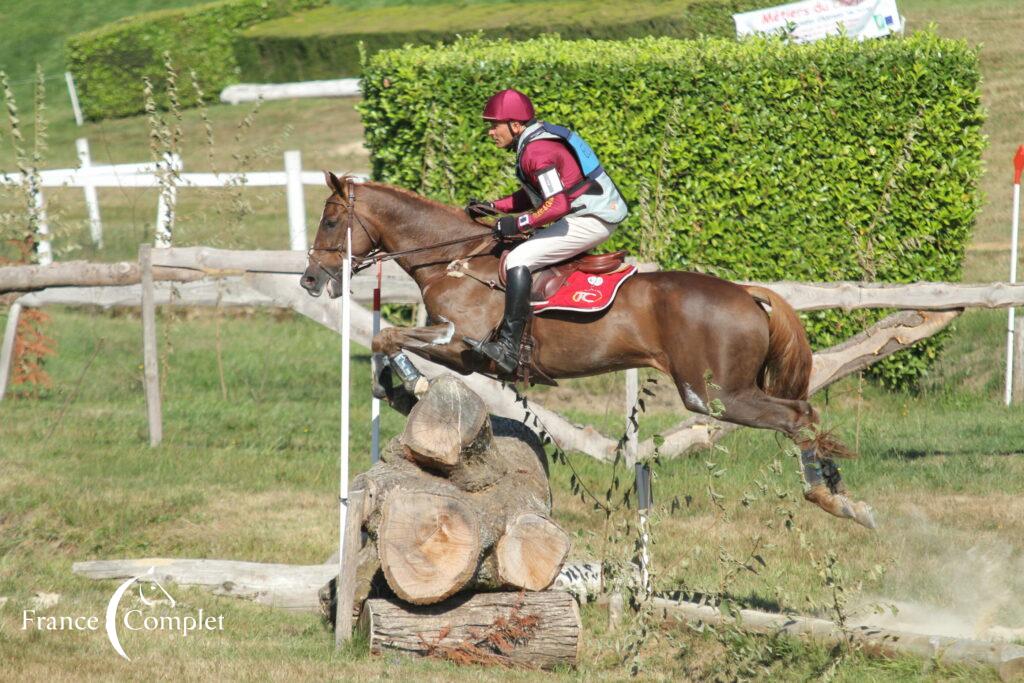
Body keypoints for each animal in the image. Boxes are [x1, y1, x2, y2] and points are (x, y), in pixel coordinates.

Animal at [299, 172, 876, 528]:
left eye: (330, 220)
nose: (309, 280)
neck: (454, 258)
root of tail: (745, 293)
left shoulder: (462, 343)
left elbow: (387, 337)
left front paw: (410, 384)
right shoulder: (457, 348)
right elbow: (382, 344)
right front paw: (393, 388)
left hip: (715, 394)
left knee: (798, 415)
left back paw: (832, 500)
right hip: (726, 390)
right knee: (803, 413)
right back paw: (840, 492)